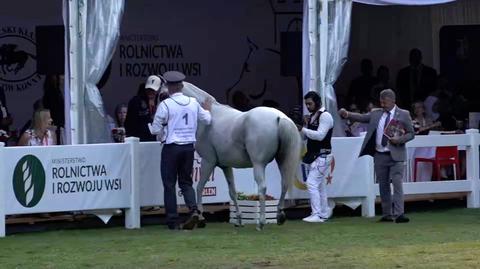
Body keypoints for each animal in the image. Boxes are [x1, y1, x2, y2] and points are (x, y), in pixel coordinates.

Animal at [159, 81, 302, 228]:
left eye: (162, 94)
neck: (210, 117)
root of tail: (279, 117)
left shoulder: (208, 161)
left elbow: (199, 187)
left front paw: (200, 217)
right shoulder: (225, 166)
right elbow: (232, 192)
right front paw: (238, 219)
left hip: (258, 164)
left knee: (262, 187)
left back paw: (261, 222)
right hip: (282, 160)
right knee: (284, 184)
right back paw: (280, 216)